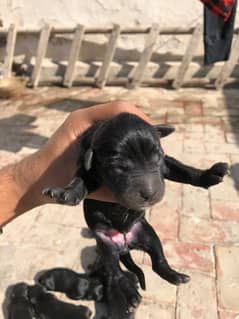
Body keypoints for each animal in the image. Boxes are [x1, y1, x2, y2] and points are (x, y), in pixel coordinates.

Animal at [43, 113, 228, 318]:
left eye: (157, 157)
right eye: (118, 166)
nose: (149, 194)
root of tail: (125, 245)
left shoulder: (167, 163)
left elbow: (183, 170)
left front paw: (208, 175)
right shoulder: (88, 170)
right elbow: (79, 180)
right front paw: (66, 193)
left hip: (148, 233)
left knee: (157, 261)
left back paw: (175, 276)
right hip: (105, 247)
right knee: (116, 275)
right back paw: (132, 295)